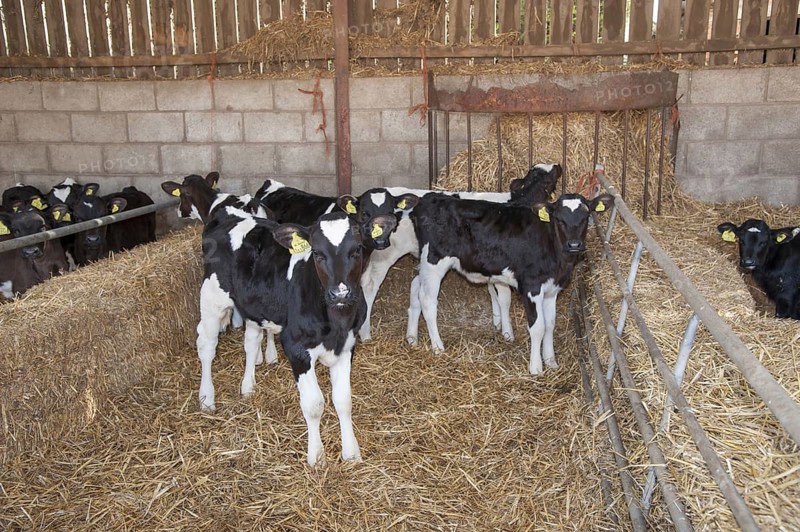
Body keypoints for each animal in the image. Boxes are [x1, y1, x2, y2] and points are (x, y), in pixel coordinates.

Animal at [198, 207, 397, 465]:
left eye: (357, 250)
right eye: (317, 253)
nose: (340, 293)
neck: (335, 322)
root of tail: (228, 212)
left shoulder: (347, 346)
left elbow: (344, 400)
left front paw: (351, 453)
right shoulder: (297, 349)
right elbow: (313, 404)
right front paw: (316, 456)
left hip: (253, 305)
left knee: (251, 342)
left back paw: (248, 387)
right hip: (211, 298)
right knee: (206, 345)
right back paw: (206, 398)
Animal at [357, 162, 563, 342]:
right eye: (547, 179)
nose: (558, 166)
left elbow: (495, 293)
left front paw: (498, 323)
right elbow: (505, 297)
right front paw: (507, 332)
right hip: (385, 254)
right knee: (370, 286)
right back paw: (366, 333)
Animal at [406, 191, 614, 375]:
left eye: (586, 216)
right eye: (559, 219)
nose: (574, 245)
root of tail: (430, 198)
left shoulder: (552, 289)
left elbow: (550, 324)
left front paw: (551, 361)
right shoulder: (531, 287)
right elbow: (538, 327)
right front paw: (536, 368)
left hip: (425, 264)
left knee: (416, 286)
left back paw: (412, 337)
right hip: (434, 262)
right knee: (427, 300)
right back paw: (438, 346)